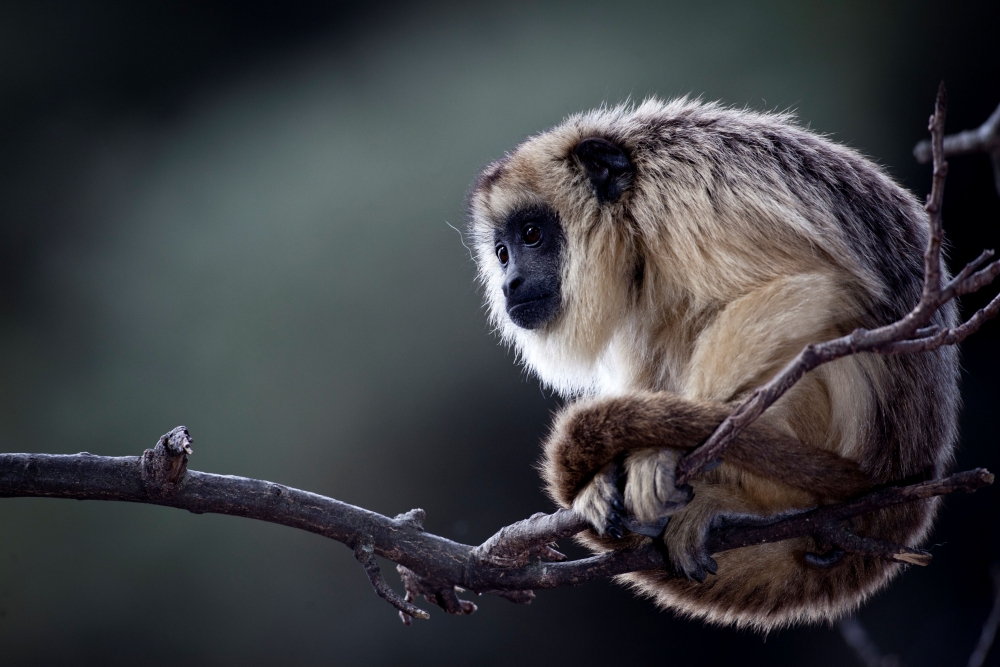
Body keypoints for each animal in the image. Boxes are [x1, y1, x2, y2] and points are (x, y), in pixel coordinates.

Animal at [468, 98, 960, 632]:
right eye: (502, 253)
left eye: (531, 235)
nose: (509, 283)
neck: (633, 209)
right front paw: (605, 476)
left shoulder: (685, 198)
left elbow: (807, 287)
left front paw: (660, 452)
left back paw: (763, 504)